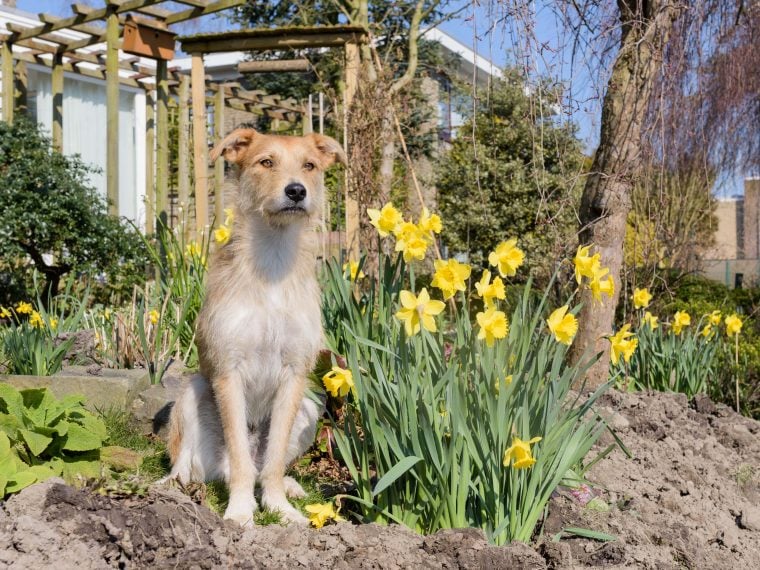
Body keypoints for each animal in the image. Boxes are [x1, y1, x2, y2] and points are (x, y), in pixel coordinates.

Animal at [166, 125, 348, 524]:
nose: (296, 191)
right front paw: (240, 511)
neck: (273, 262)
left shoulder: (295, 374)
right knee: (191, 464)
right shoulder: (227, 372)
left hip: (309, 407)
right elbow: (239, 456)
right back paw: (173, 485)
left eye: (310, 165)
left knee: (264, 463)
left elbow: (274, 460)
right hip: (192, 393)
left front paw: (279, 508)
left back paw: (290, 488)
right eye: (266, 162)